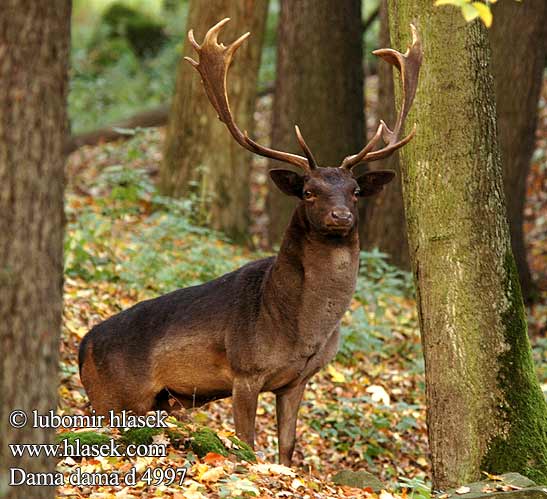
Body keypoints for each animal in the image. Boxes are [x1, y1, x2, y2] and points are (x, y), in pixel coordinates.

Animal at [79, 18, 424, 464]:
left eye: (355, 191)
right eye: (308, 191)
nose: (341, 217)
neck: (300, 330)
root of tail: (82, 347)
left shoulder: (296, 380)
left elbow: (286, 448)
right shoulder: (245, 371)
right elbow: (247, 443)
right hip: (115, 397)